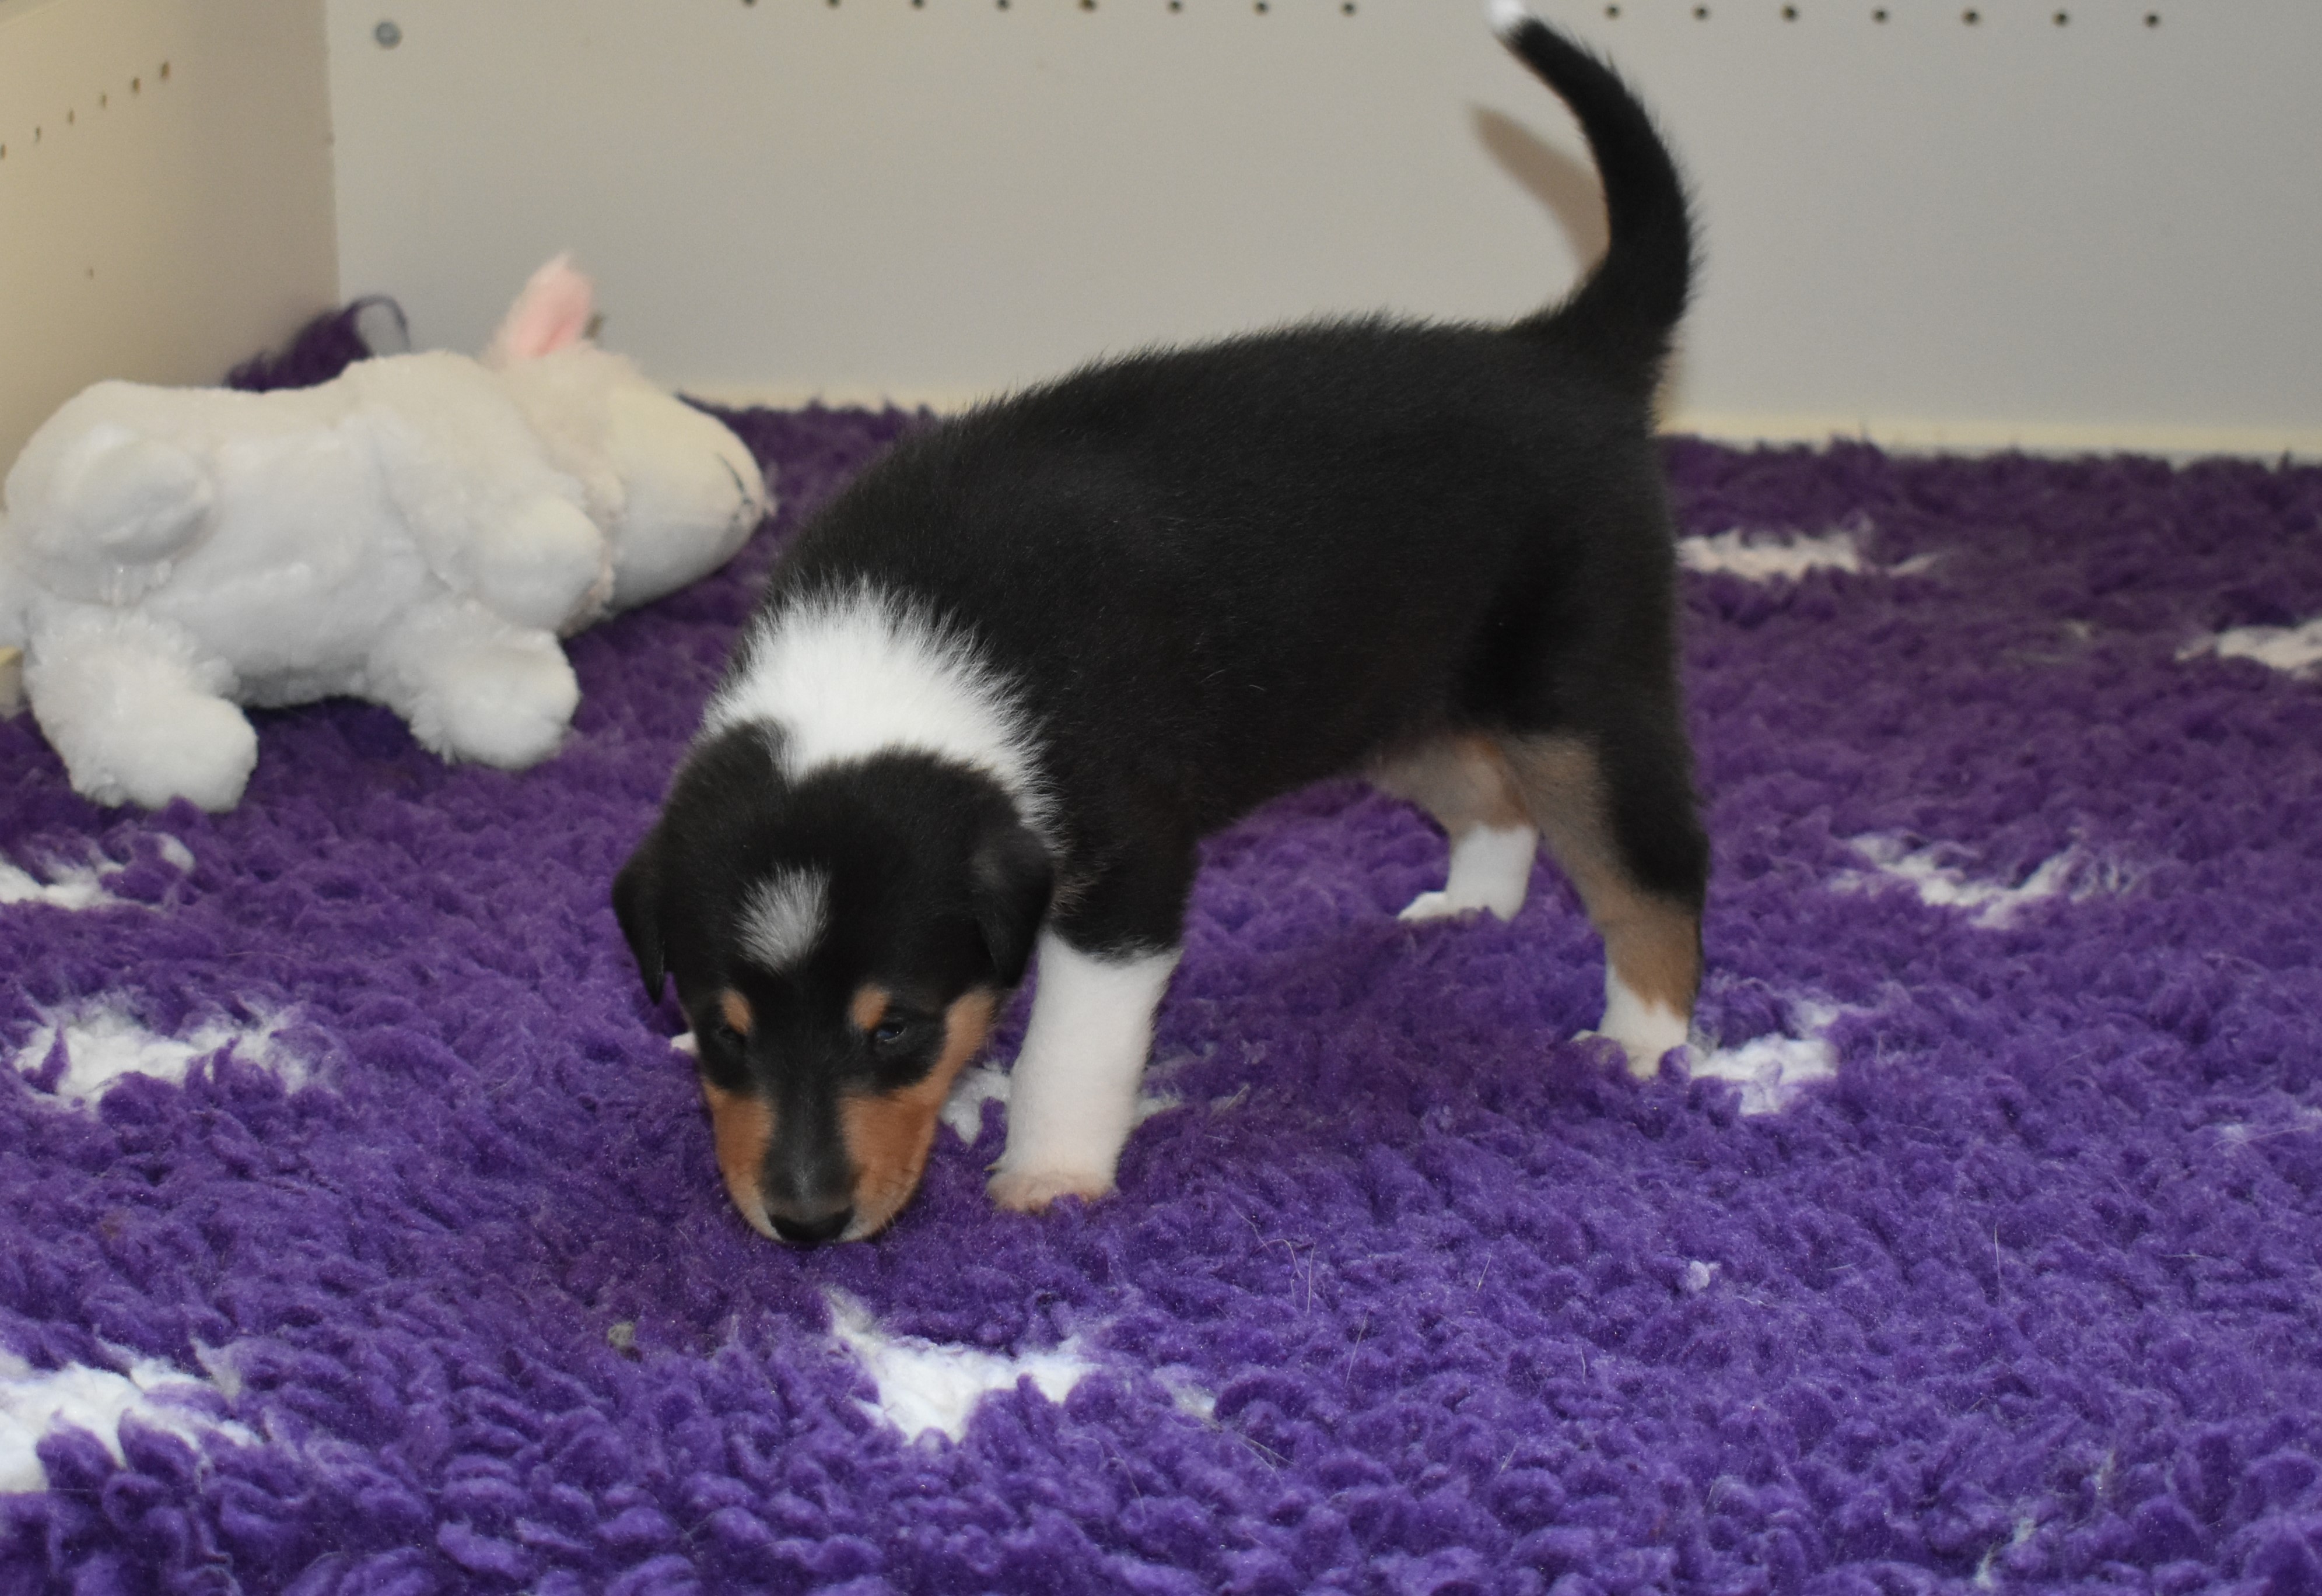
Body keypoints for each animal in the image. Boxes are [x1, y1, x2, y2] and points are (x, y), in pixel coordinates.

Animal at [614, 0, 1708, 1245]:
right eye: (728, 1028)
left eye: (896, 1027)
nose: (803, 1225)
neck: (899, 644)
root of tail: (1566, 351)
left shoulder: (1124, 875)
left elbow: (1072, 1048)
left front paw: (1048, 1177)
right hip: (1387, 692)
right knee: (1493, 796)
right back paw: (1467, 912)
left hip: (1577, 694)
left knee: (1654, 868)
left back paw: (1642, 1045)